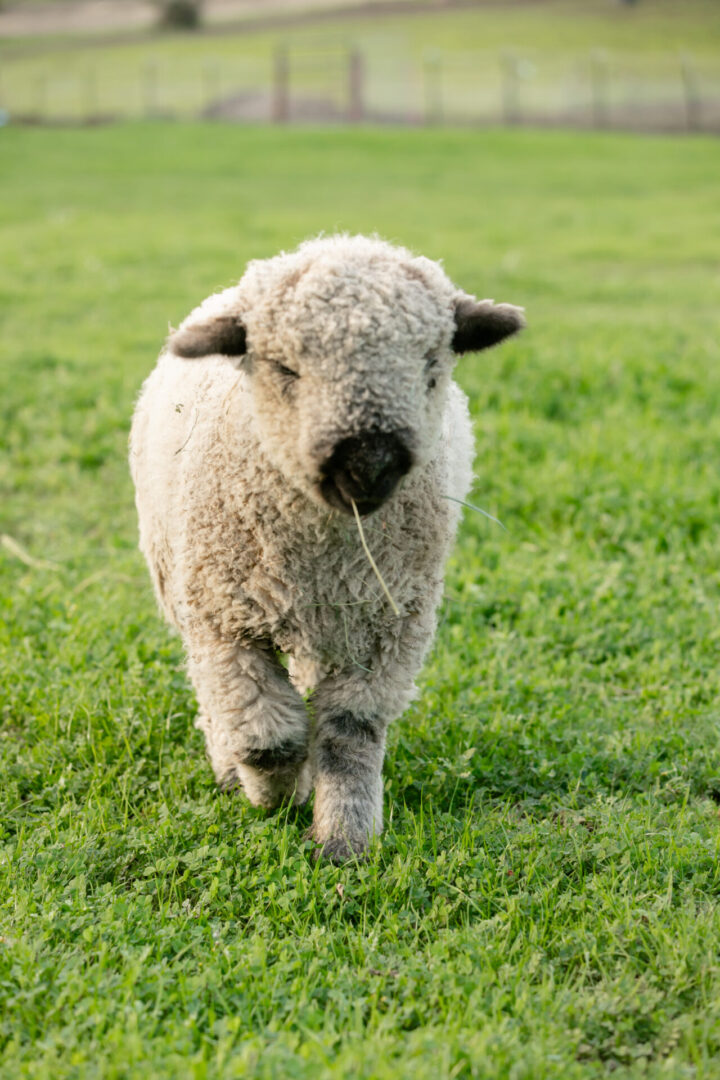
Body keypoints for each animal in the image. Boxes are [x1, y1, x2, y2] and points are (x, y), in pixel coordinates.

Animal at [129, 235, 524, 861]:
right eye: (284, 367)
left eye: (431, 366)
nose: (369, 466)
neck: (324, 552)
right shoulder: (227, 620)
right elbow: (265, 737)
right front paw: (275, 796)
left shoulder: (387, 628)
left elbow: (349, 733)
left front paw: (344, 839)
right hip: (190, 593)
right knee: (219, 702)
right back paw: (230, 770)